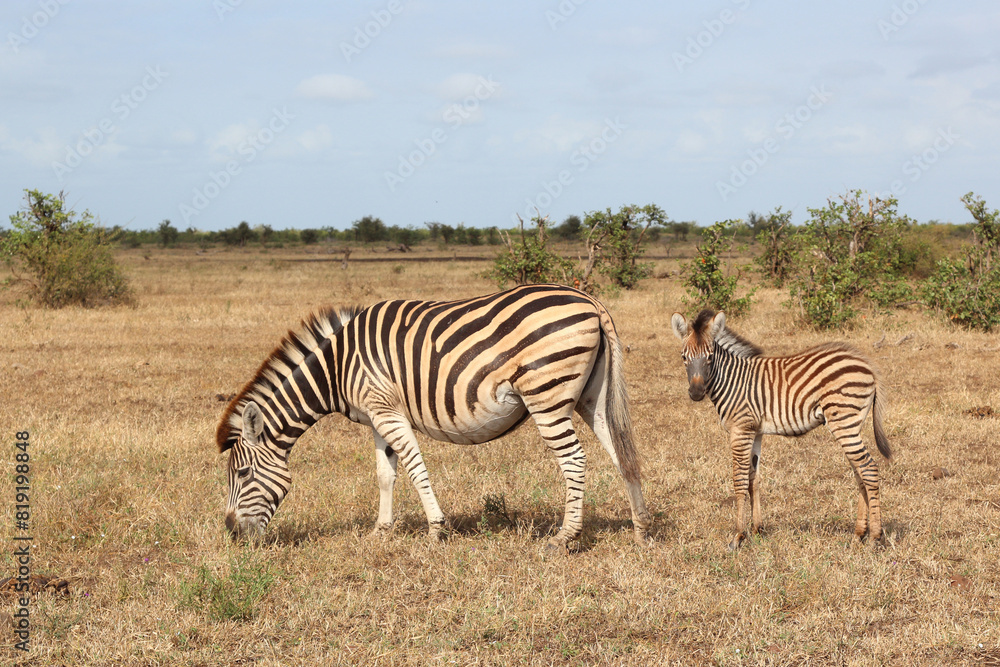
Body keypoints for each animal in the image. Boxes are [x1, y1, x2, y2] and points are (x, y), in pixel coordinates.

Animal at [217, 284, 653, 552]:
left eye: (241, 474)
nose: (233, 533)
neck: (337, 367)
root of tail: (589, 300)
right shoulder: (377, 416)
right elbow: (385, 473)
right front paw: (380, 531)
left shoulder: (386, 409)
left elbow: (415, 468)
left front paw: (435, 530)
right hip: (591, 397)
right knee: (621, 454)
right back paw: (641, 530)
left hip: (546, 393)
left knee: (574, 460)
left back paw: (564, 538)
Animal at [670, 309, 892, 550]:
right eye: (684, 357)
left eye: (710, 357)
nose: (696, 393)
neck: (731, 381)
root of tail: (866, 363)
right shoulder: (755, 431)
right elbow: (753, 479)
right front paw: (757, 530)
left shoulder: (740, 430)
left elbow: (739, 480)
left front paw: (738, 536)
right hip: (850, 425)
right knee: (860, 473)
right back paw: (858, 534)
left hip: (844, 422)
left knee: (868, 469)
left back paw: (874, 537)